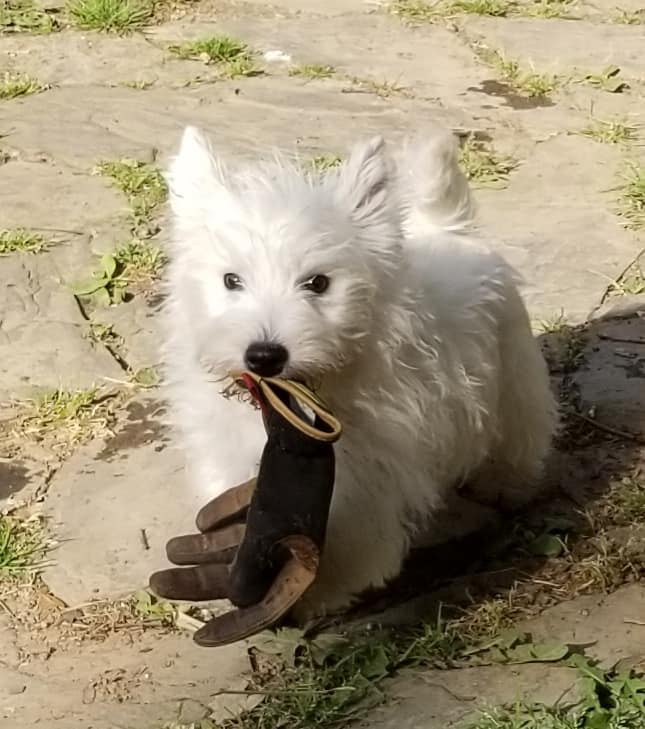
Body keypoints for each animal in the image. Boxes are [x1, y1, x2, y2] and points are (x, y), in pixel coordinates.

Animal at [162, 124, 558, 619]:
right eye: (231, 280)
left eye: (318, 283)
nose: (265, 355)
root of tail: (448, 225)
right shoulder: (228, 447)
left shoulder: (367, 473)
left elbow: (344, 534)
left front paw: (321, 594)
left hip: (514, 377)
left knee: (520, 435)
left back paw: (506, 487)